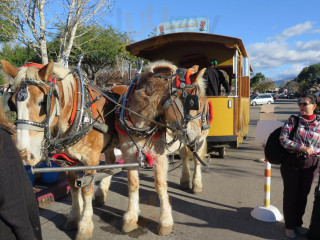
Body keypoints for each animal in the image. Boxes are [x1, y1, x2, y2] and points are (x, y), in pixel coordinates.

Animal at [0, 60, 118, 240]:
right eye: (12, 104)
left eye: (43, 102)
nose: (24, 154)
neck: (81, 114)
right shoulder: (68, 160)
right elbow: (74, 186)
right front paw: (74, 217)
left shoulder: (91, 159)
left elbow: (86, 189)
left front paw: (84, 226)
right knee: (111, 164)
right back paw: (102, 193)